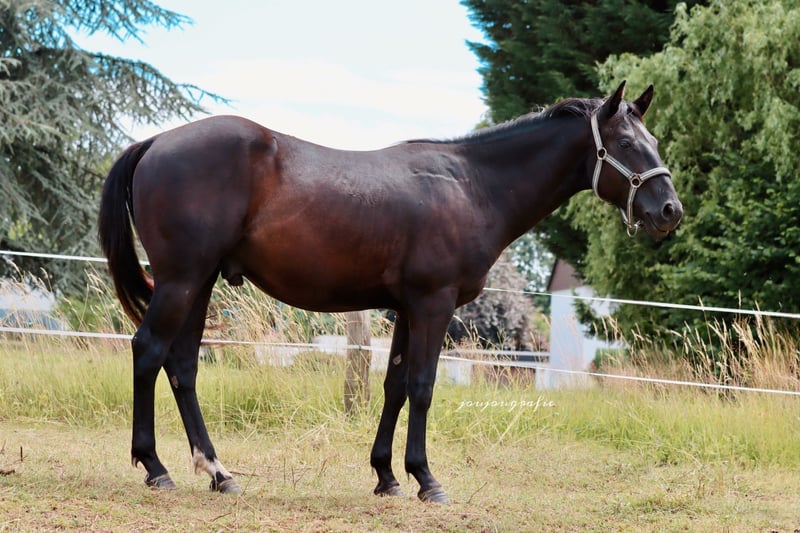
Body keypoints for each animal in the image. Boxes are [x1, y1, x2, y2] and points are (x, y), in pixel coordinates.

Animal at [98, 81, 682, 503]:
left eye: (653, 143)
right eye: (625, 145)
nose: (669, 211)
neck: (471, 186)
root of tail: (154, 143)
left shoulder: (406, 308)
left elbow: (395, 386)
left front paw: (387, 476)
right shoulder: (433, 304)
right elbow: (422, 387)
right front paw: (426, 480)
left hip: (199, 283)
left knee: (182, 367)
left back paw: (218, 473)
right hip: (181, 279)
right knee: (148, 351)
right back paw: (156, 468)